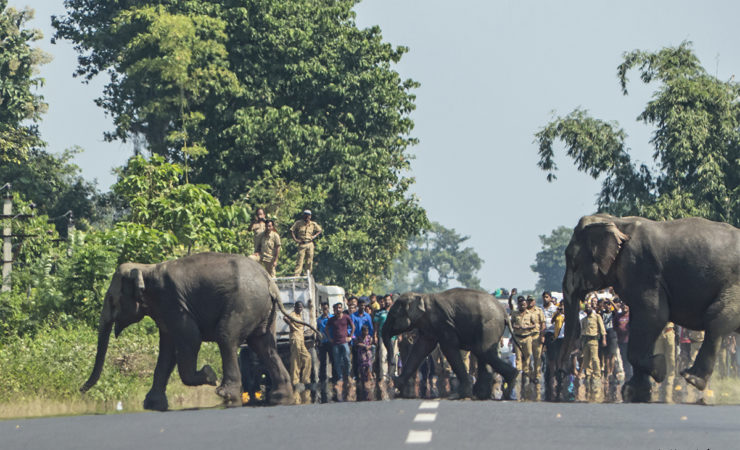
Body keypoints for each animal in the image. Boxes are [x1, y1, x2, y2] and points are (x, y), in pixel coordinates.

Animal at [80, 252, 315, 411]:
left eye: (112, 300)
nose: (81, 390)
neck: (146, 269)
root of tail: (270, 282)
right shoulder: (165, 312)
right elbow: (167, 351)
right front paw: (151, 404)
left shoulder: (174, 304)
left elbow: (189, 340)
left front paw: (209, 376)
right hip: (263, 311)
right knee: (264, 345)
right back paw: (280, 396)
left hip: (245, 303)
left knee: (226, 337)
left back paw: (225, 394)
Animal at [381, 288, 519, 400]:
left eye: (393, 314)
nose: (392, 362)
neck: (421, 297)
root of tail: (505, 313)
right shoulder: (430, 327)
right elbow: (421, 348)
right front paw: (397, 386)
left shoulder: (444, 324)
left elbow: (448, 348)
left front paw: (458, 395)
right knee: (483, 354)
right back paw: (482, 395)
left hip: (489, 326)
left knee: (483, 351)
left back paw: (509, 384)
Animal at [561, 214, 740, 402]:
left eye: (572, 261)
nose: (564, 371)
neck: (615, 221)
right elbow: (643, 323)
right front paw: (633, 393)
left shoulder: (642, 269)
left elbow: (654, 316)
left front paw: (660, 369)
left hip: (734, 285)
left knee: (716, 319)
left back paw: (691, 378)